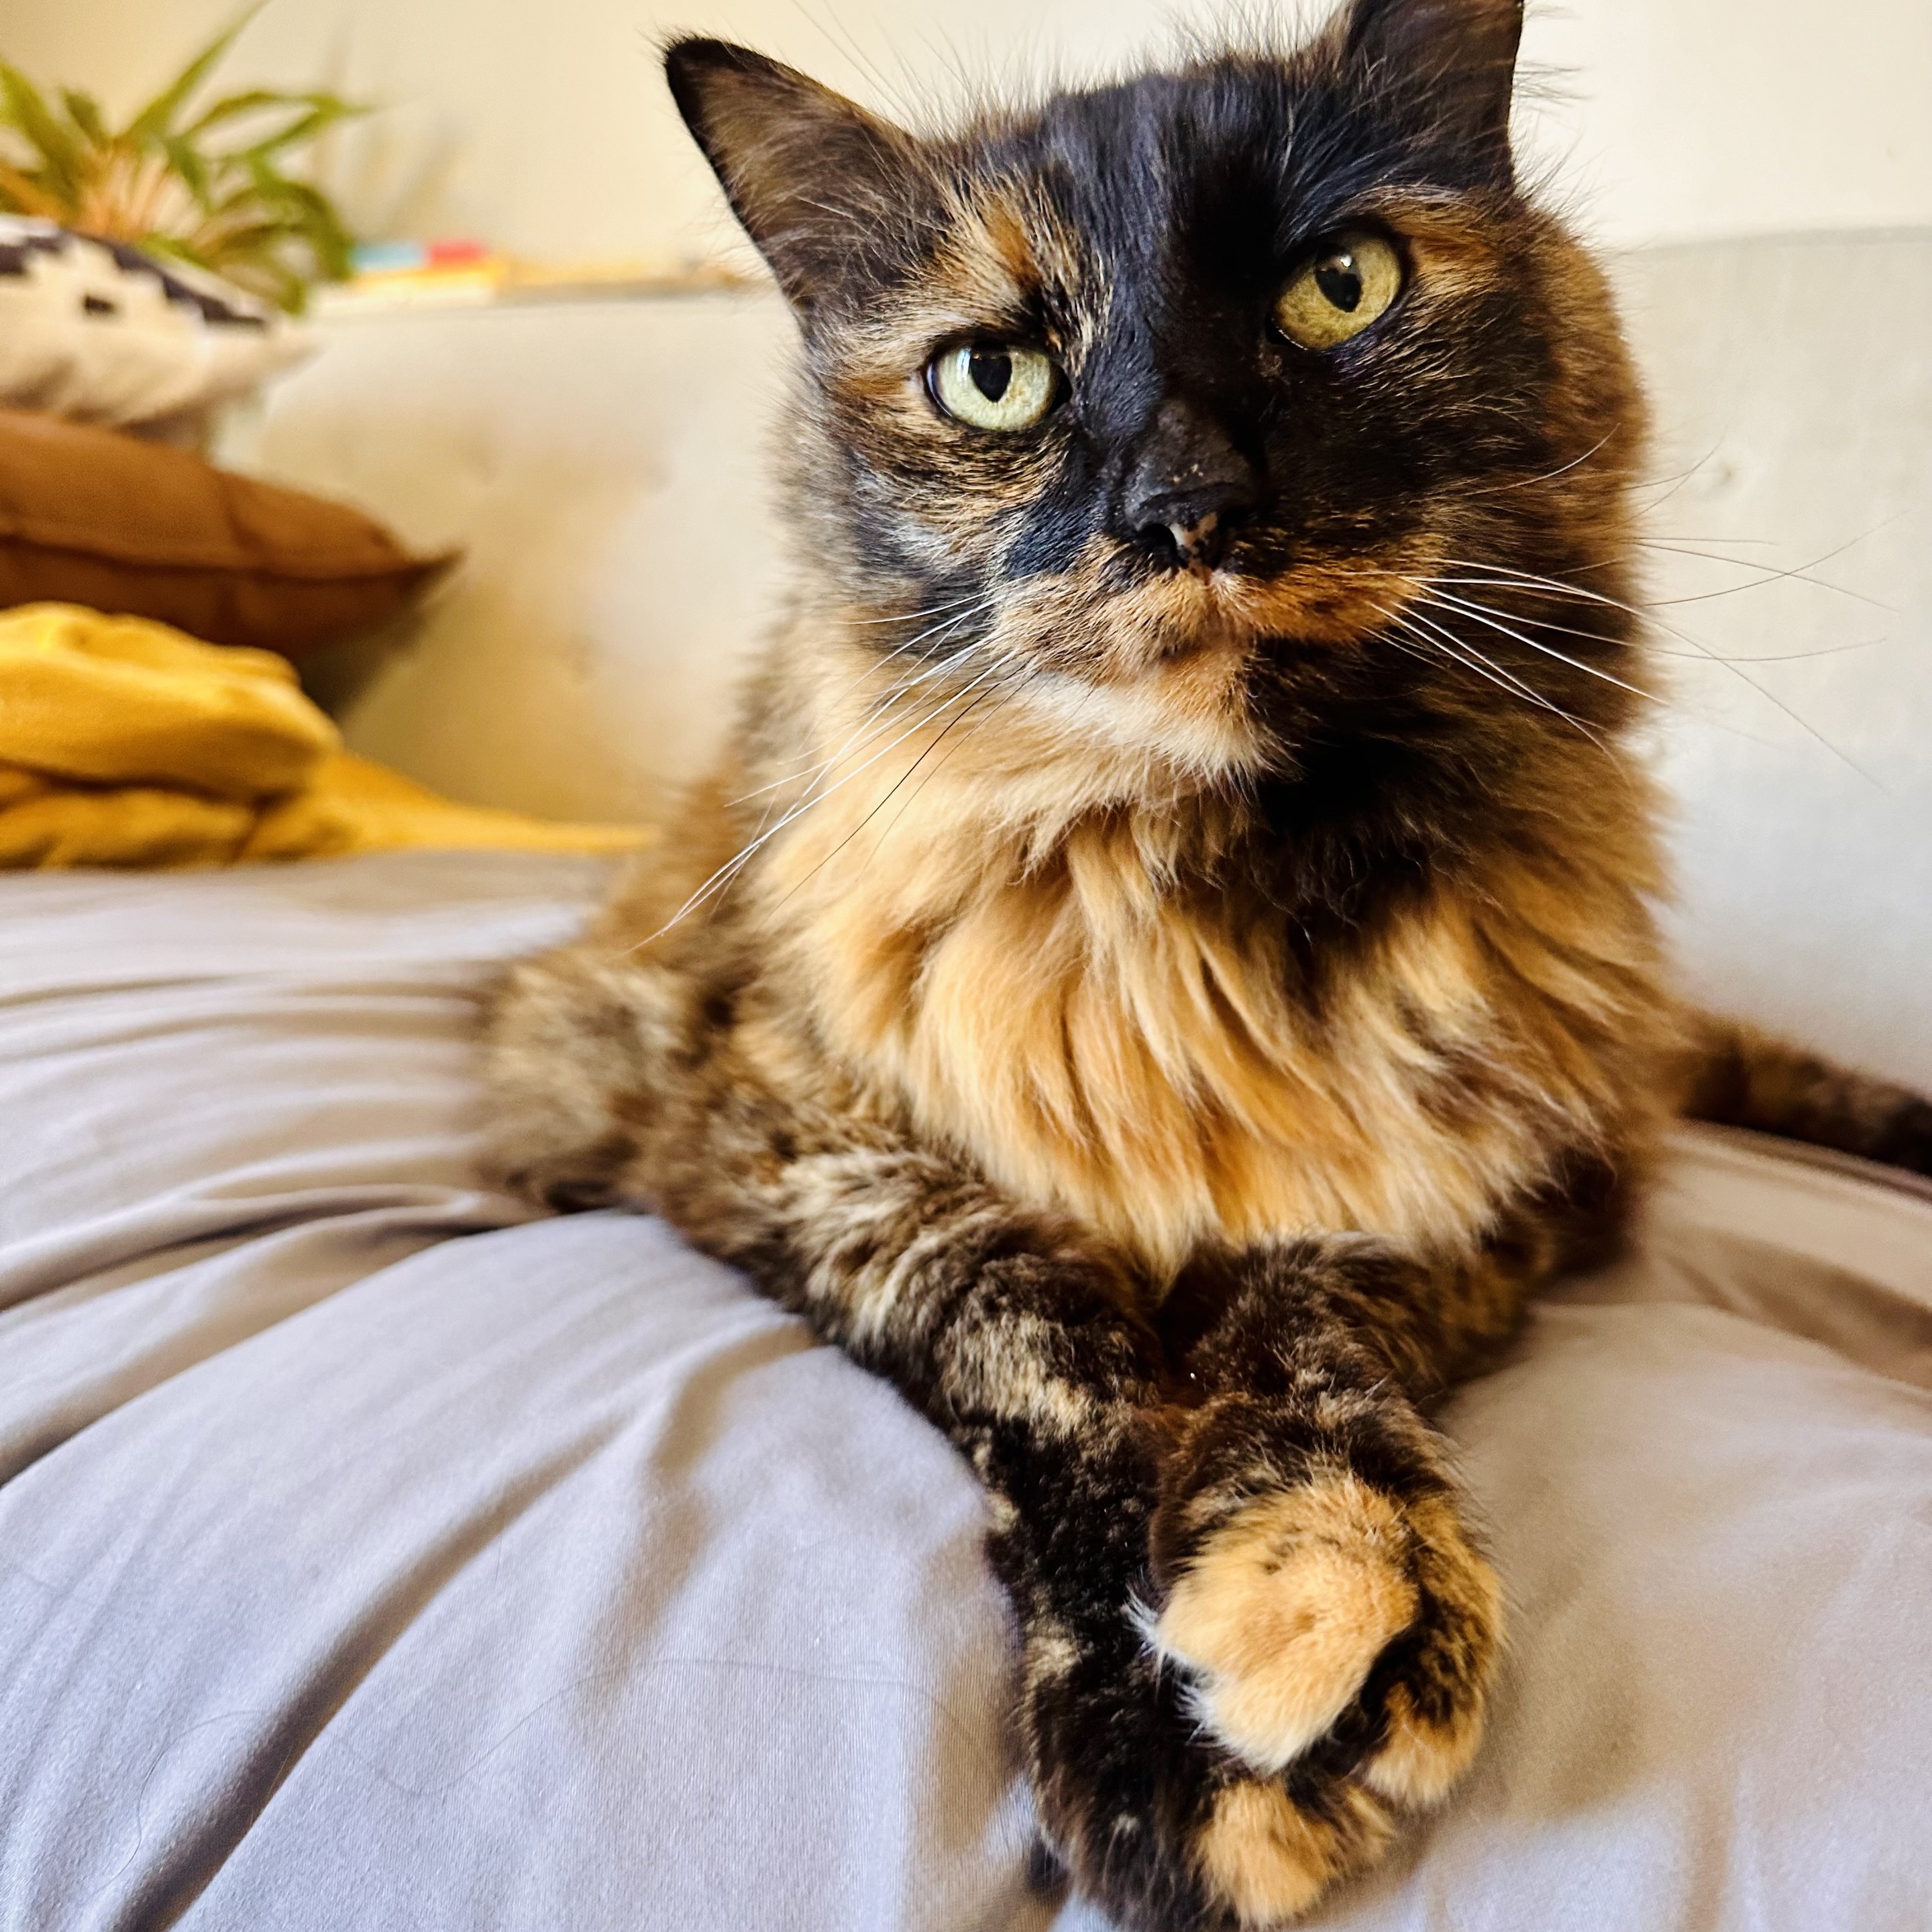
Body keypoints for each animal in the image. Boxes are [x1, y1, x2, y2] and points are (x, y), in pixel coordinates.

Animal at [483, 7, 1932, 1924]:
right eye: (991, 377)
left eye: (1340, 285)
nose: (1187, 507)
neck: (1216, 914)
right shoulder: (757, 1125)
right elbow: (1035, 1324)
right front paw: (1157, 1731)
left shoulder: (1513, 1173)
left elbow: (1310, 1313)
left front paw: (1324, 1583)